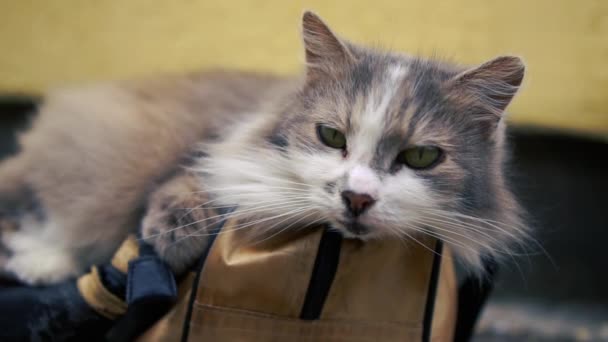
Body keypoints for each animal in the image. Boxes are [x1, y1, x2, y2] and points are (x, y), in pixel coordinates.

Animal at [0, 11, 528, 284]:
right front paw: (174, 239)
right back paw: (38, 260)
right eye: (331, 136)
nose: (357, 198)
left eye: (420, 157)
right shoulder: (216, 151)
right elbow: (186, 186)